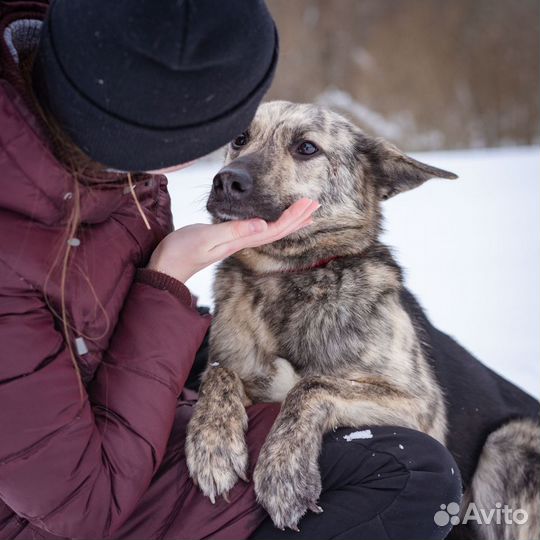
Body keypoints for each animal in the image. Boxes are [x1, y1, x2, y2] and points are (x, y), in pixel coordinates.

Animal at [184, 100, 536, 536]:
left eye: (306, 148)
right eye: (240, 138)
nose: (227, 181)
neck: (287, 275)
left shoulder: (421, 407)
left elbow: (312, 387)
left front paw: (284, 473)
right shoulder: (231, 365)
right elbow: (220, 372)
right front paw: (212, 444)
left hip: (507, 443)